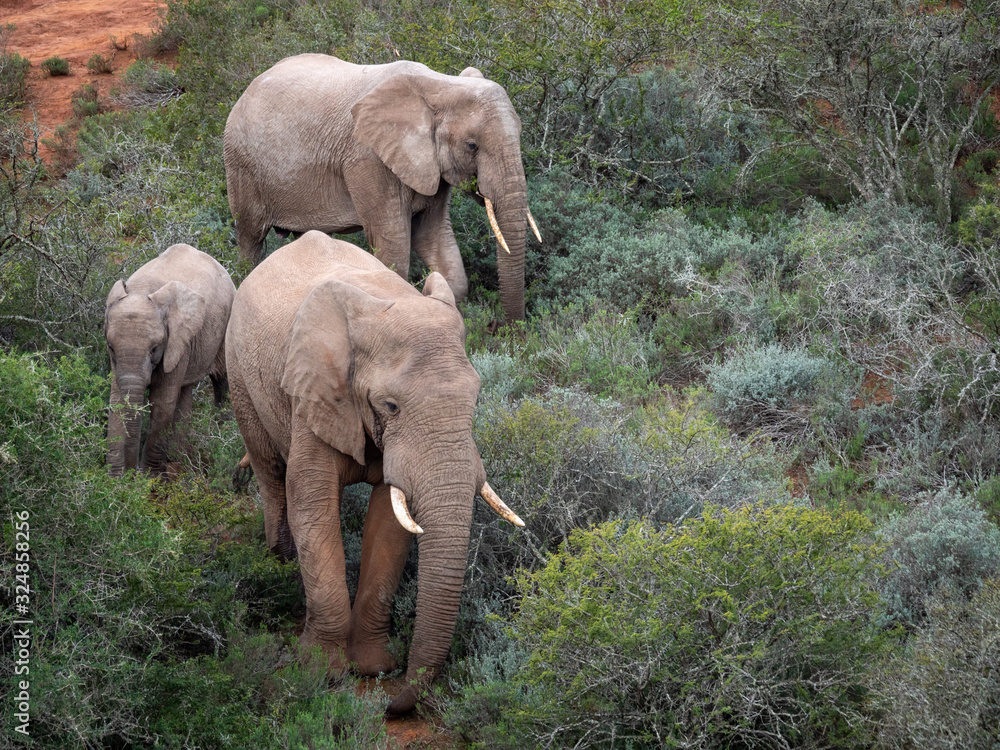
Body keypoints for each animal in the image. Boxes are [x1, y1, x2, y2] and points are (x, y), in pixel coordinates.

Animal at [105, 247, 236, 482]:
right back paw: (178, 455)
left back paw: (220, 440)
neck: (143, 288)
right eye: (111, 347)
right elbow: (117, 399)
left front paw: (152, 479)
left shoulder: (176, 341)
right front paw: (114, 480)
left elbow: (162, 402)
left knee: (222, 382)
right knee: (185, 391)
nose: (131, 474)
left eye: (154, 348)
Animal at [224, 52, 544, 324]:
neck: (439, 84)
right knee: (250, 238)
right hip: (241, 165)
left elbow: (435, 241)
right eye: (472, 145)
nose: (506, 330)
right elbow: (394, 249)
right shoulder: (368, 160)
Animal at [227, 231, 524, 716]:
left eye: (477, 397)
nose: (391, 705)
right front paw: (323, 672)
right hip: (239, 375)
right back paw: (279, 564)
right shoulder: (315, 394)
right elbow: (313, 506)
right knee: (272, 475)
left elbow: (391, 520)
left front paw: (372, 668)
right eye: (390, 405)